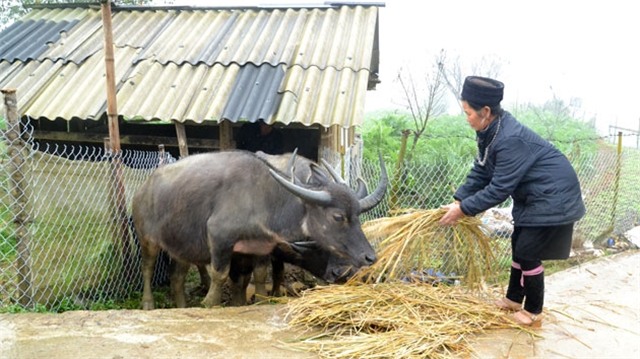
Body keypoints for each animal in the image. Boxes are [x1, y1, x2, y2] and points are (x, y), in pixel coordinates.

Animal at [132, 150, 388, 310]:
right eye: (337, 217)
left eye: (358, 215)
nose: (369, 257)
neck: (265, 200)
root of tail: (143, 189)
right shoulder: (220, 238)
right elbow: (221, 275)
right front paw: (210, 303)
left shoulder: (255, 249)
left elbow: (252, 277)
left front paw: (248, 302)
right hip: (147, 239)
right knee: (147, 267)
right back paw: (148, 303)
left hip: (181, 247)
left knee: (177, 278)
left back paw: (182, 306)